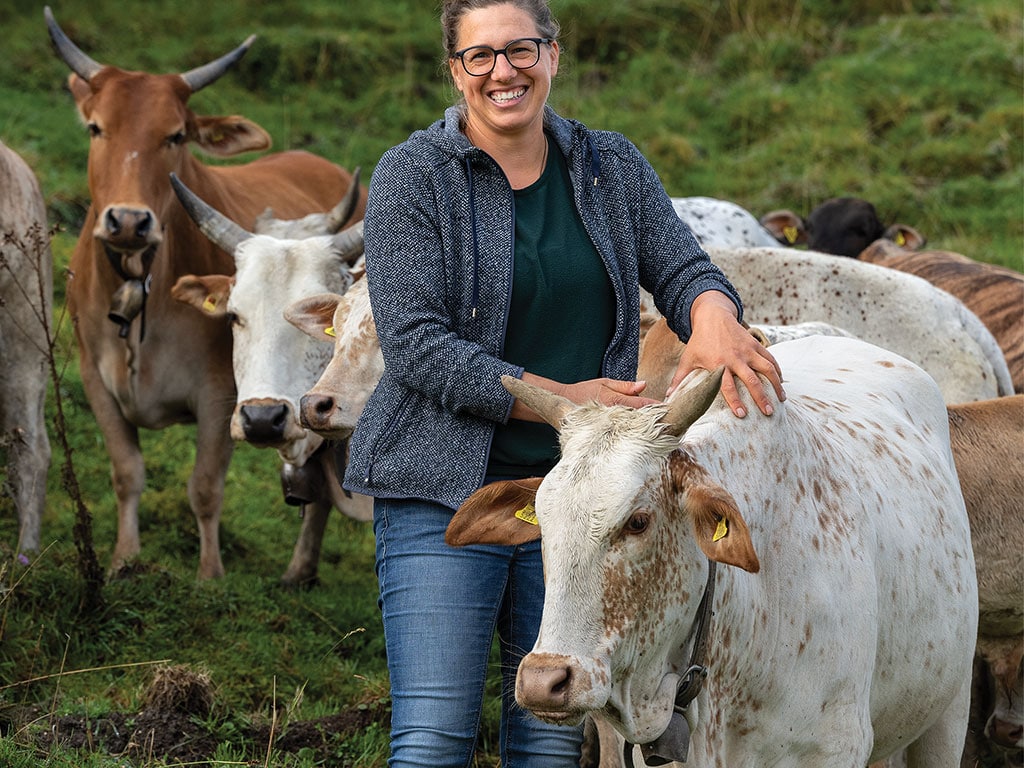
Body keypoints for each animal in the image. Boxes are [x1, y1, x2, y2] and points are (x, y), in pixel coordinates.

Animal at [45, 9, 364, 581]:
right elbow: (127, 473)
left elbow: (205, 487)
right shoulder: (93, 381)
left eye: (175, 136)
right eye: (95, 128)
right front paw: (123, 561)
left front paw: (209, 577)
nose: (129, 221)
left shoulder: (219, 398)